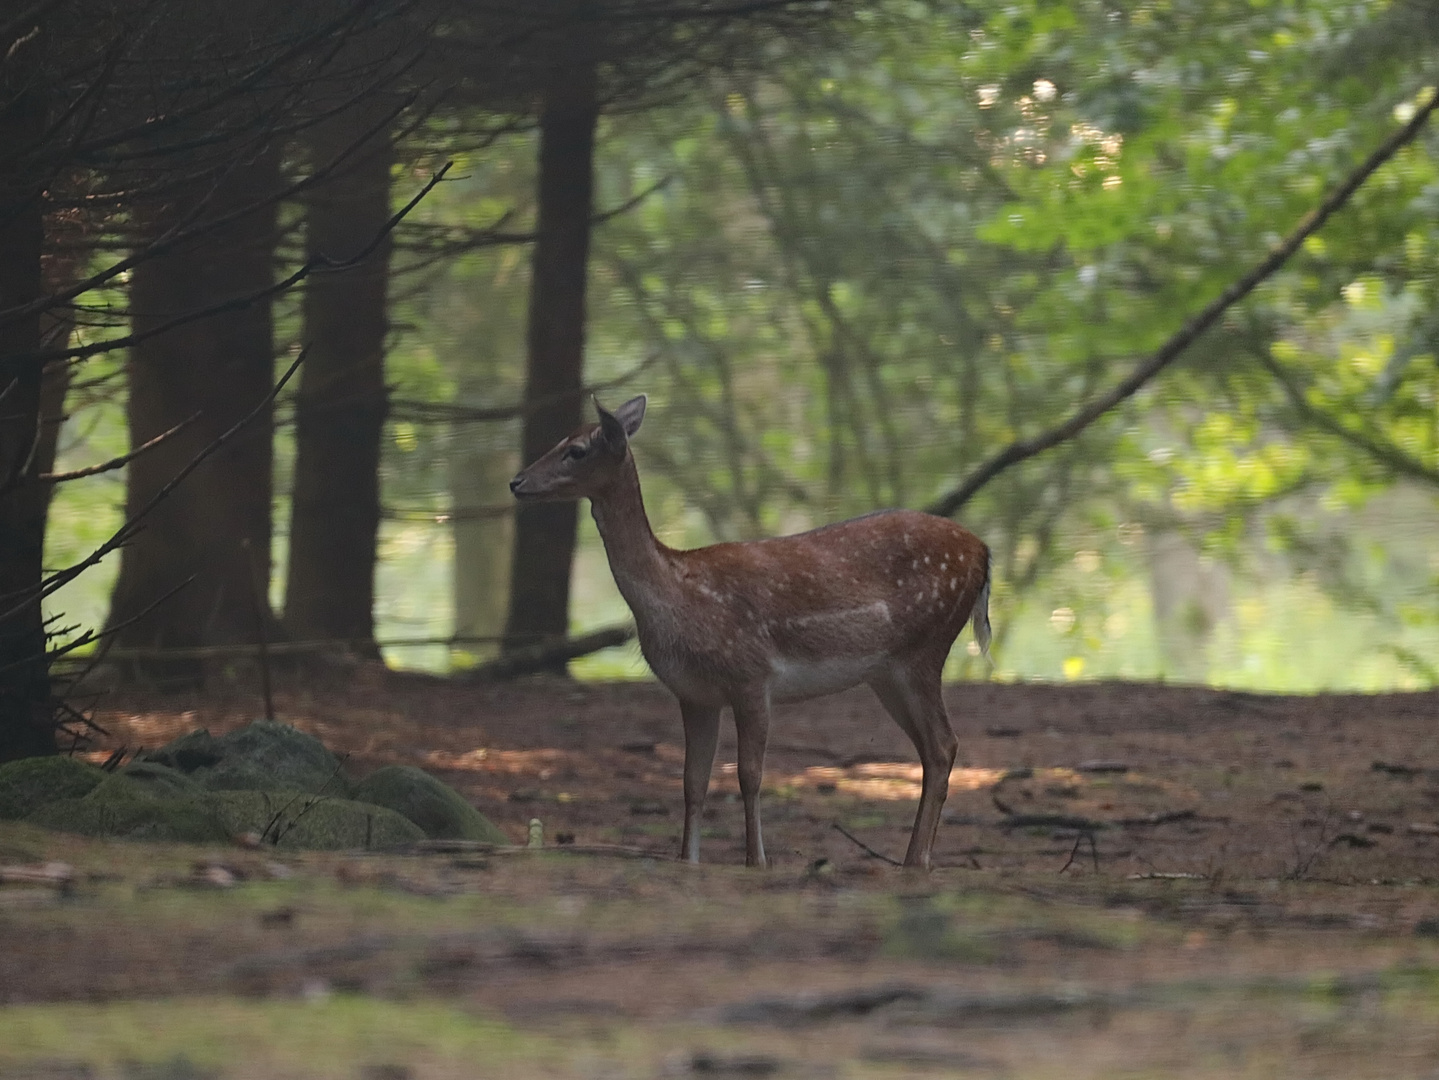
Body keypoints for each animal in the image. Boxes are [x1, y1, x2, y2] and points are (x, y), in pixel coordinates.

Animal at [506, 396, 990, 868]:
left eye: (576, 450)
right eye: (560, 438)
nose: (516, 481)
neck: (677, 593)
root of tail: (984, 551)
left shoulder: (752, 675)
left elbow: (749, 776)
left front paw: (756, 861)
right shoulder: (694, 693)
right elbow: (692, 783)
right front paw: (688, 861)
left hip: (925, 646)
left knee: (944, 744)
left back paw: (916, 861)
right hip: (886, 673)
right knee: (931, 748)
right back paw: (911, 858)